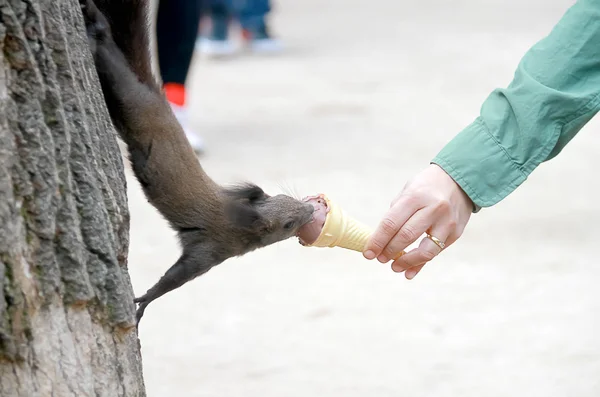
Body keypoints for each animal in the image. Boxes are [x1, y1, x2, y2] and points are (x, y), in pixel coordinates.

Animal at [79, 0, 314, 324]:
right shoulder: (211, 249)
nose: (311, 210)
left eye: (286, 197)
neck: (240, 222)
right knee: (112, 61)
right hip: (131, 99)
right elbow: (174, 279)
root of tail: (156, 95)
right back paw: (97, 25)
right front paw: (144, 302)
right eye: (288, 224)